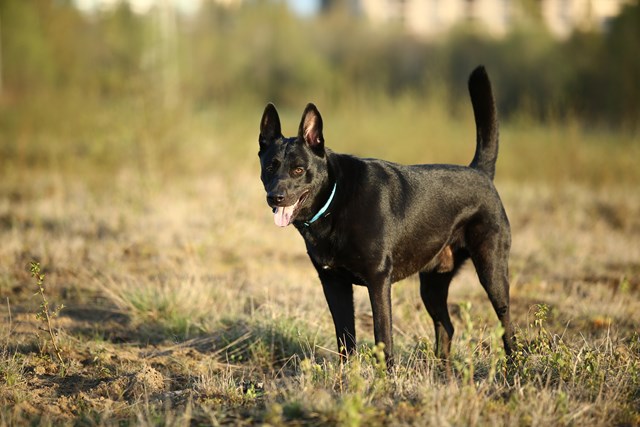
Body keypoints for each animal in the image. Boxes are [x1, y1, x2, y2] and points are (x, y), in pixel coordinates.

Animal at [258, 67, 512, 368]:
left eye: (298, 170)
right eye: (270, 167)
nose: (275, 197)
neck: (335, 196)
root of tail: (480, 172)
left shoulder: (378, 280)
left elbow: (383, 336)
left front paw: (386, 376)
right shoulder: (333, 283)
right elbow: (345, 338)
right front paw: (348, 375)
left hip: (491, 271)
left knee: (506, 323)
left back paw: (514, 364)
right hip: (432, 284)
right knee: (446, 326)